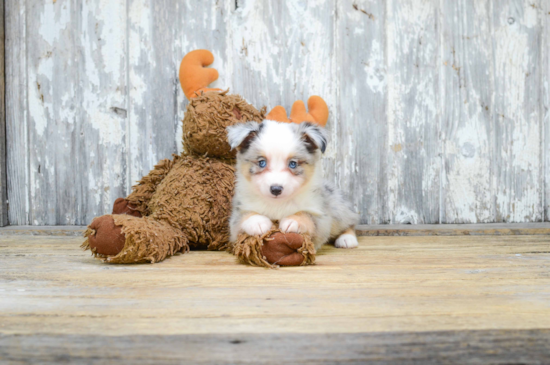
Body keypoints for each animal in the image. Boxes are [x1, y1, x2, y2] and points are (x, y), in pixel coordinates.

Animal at [226, 121, 360, 249]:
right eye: (262, 162)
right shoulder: (237, 216)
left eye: (293, 164)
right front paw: (257, 222)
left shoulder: (321, 216)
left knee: (350, 221)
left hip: (337, 208)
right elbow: (244, 216)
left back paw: (347, 239)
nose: (276, 189)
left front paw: (293, 220)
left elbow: (307, 215)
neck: (277, 204)